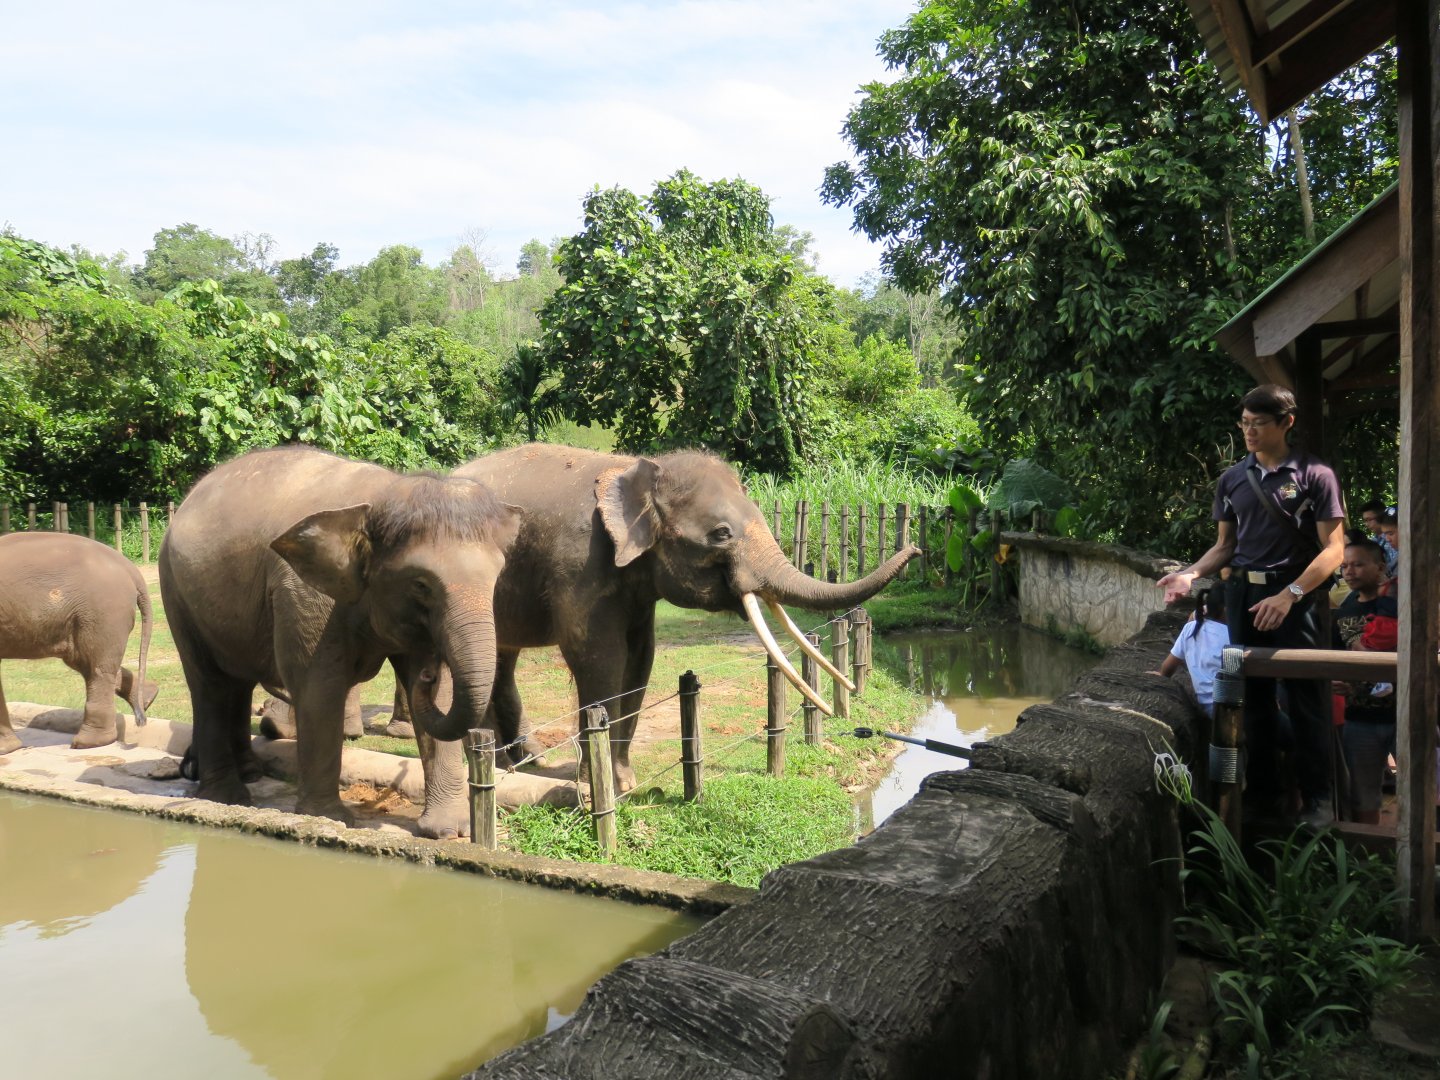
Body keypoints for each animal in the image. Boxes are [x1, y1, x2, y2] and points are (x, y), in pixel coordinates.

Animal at [0, 532, 156, 754]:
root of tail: (130, 568)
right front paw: (9, 749)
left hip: (103, 612)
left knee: (96, 667)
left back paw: (87, 743)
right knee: (85, 662)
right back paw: (149, 697)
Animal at [158, 445, 520, 838]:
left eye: (498, 577)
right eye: (421, 584)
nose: (430, 671)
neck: (382, 497)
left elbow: (441, 697)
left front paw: (450, 831)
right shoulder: (305, 594)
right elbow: (319, 686)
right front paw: (330, 820)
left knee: (236, 683)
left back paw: (249, 774)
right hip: (175, 592)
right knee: (210, 684)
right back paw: (227, 797)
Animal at [384, 445, 917, 794]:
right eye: (721, 534)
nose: (914, 549)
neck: (634, 466)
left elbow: (640, 659)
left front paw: (624, 783)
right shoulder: (579, 563)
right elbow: (598, 657)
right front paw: (599, 791)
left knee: (502, 657)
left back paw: (524, 760)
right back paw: (499, 761)